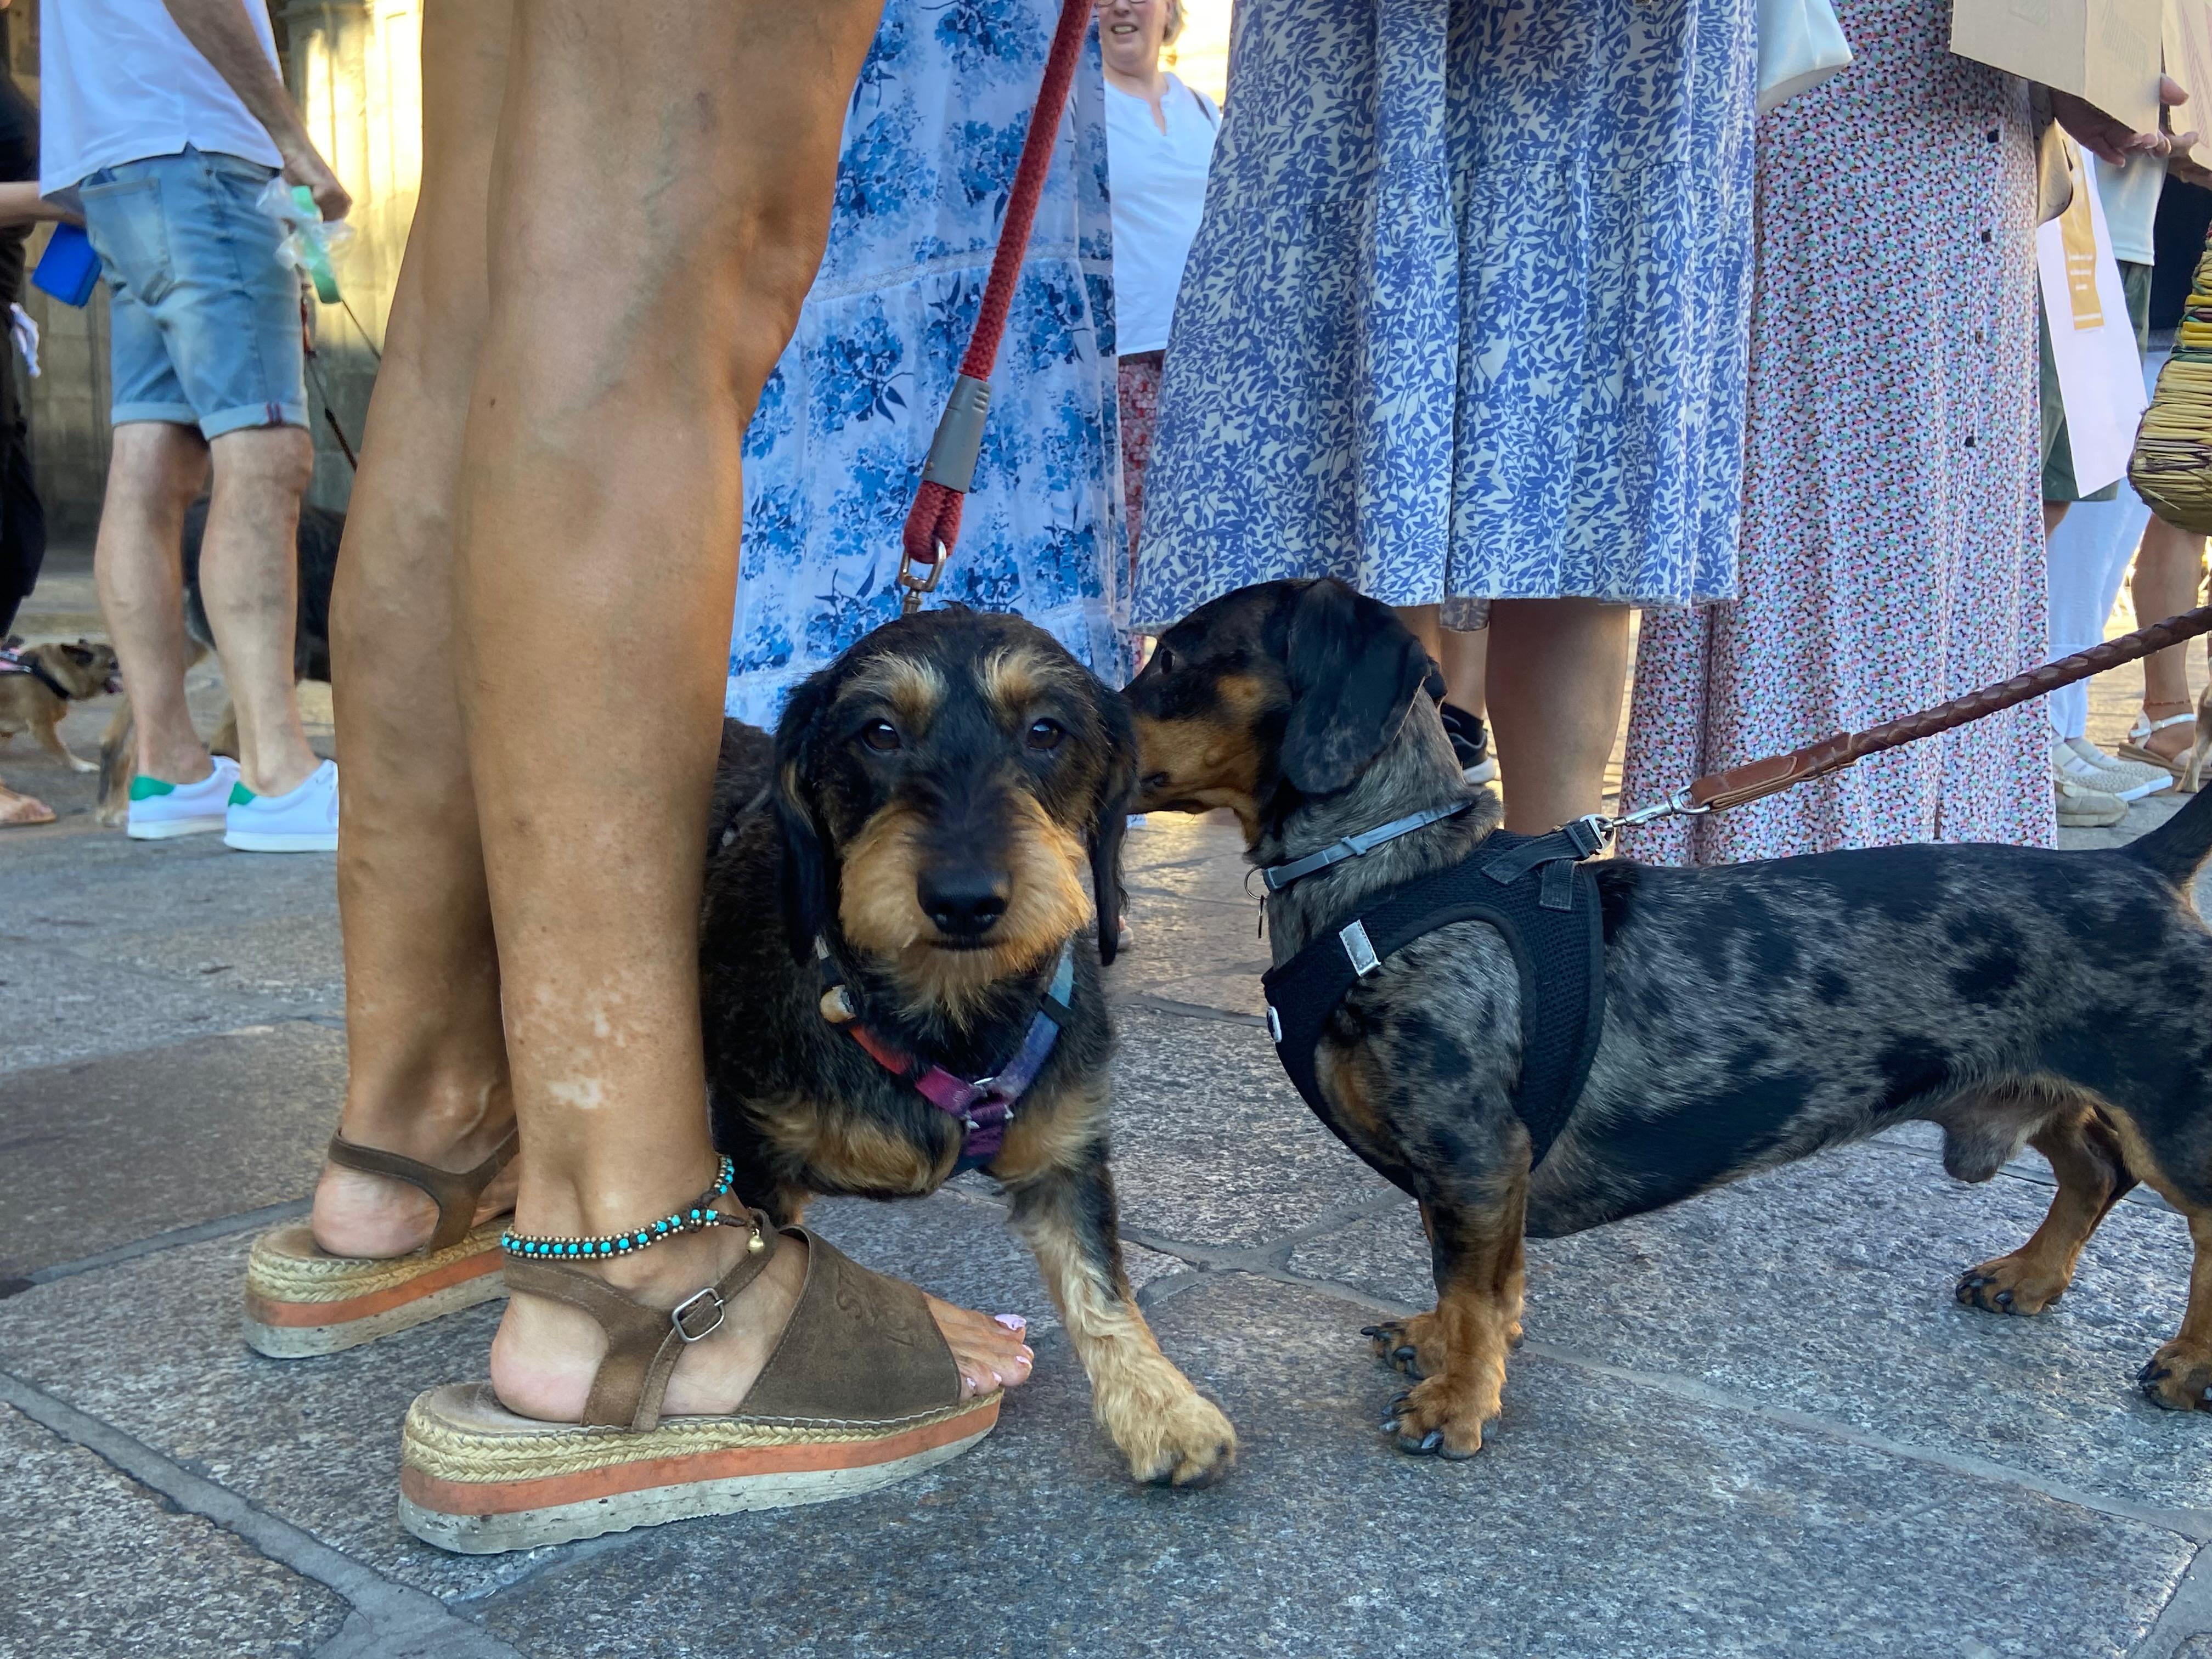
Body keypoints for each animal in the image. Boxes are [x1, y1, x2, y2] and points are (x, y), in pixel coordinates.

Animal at [703, 606, 1238, 1486]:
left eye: (1045, 731)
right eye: (879, 733)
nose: (963, 900)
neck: (945, 1012)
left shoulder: (1066, 1157)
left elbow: (1102, 1286)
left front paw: (1162, 1406)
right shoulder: (753, 1163)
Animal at [1132, 579, 2212, 1460]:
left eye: (1174, 656)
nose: (1083, 715)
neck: (1393, 878)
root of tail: (2138, 867)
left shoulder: (1472, 1152)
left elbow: (1471, 1285)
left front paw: (1457, 1402)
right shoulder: (1472, 1175)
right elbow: (1470, 1279)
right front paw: (1439, 1345)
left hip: (2175, 1114)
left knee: (2188, 1217)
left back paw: (2188, 1364)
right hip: (2051, 1084)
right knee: (2094, 1168)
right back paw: (2027, 1275)